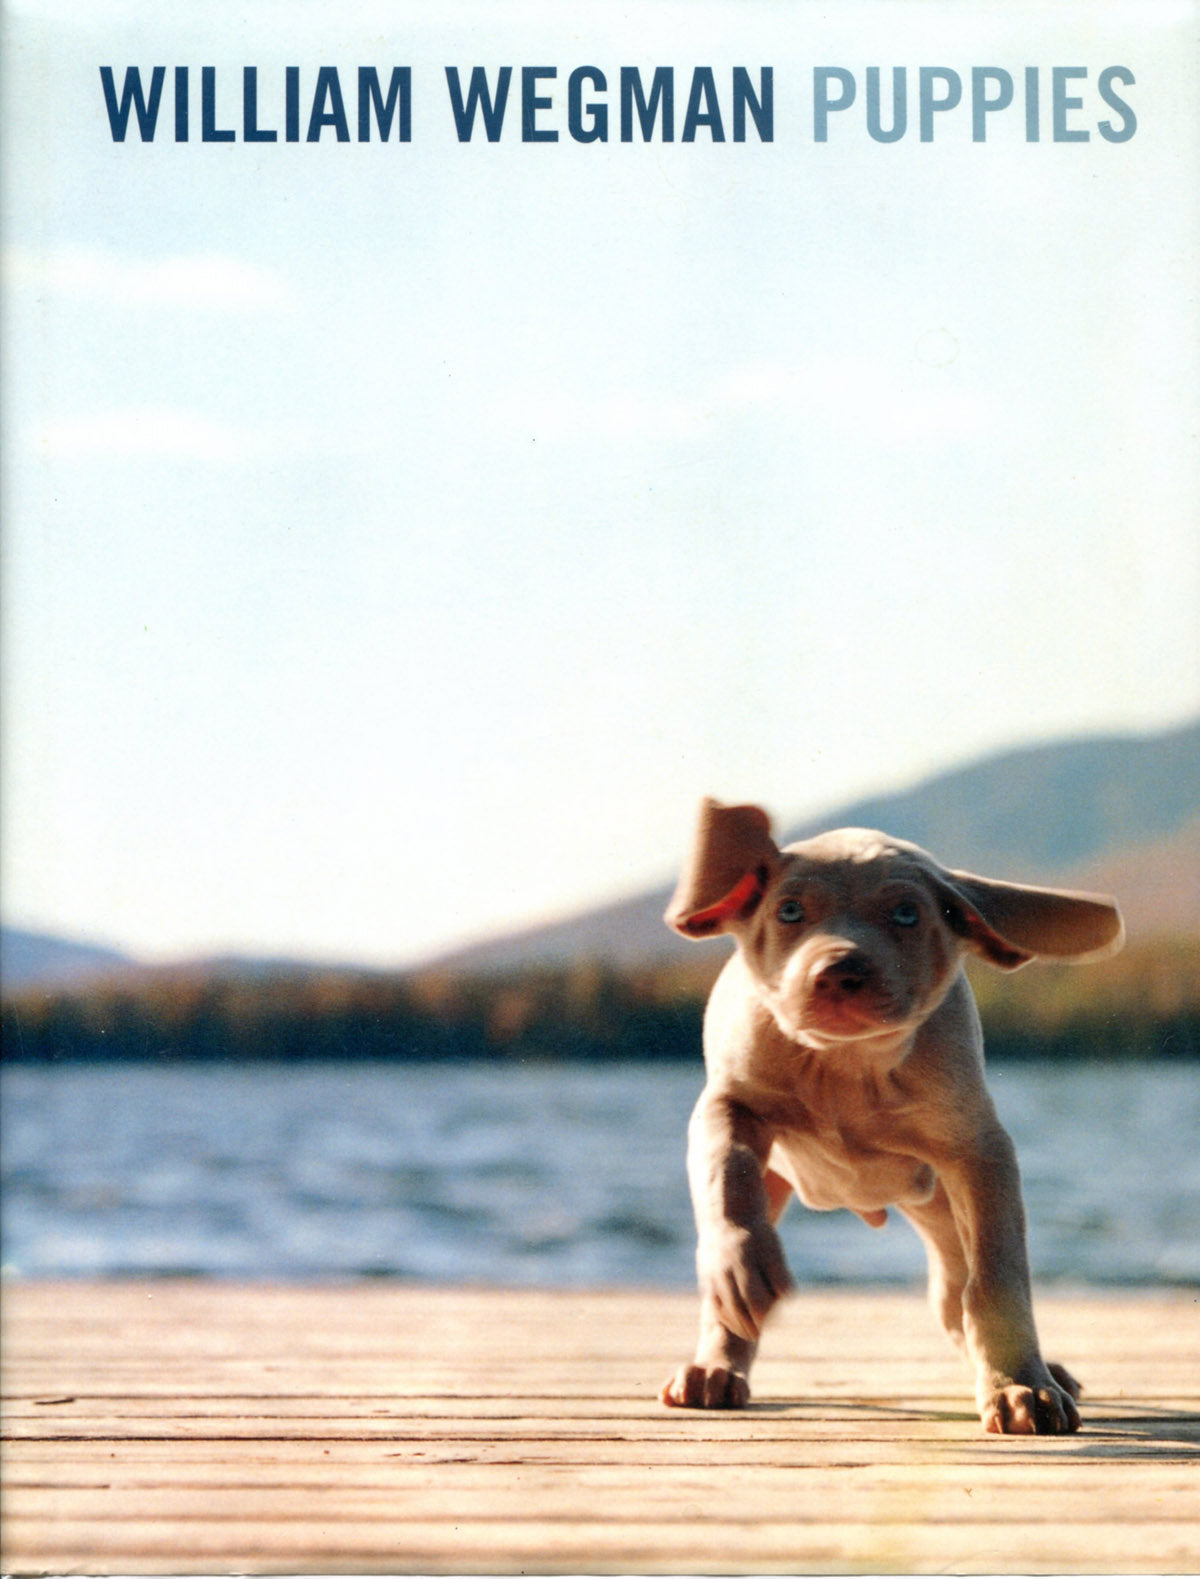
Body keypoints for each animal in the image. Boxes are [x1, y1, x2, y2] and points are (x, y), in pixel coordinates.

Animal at [660, 802, 1117, 1433]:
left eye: (906, 913)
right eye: (789, 910)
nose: (838, 973)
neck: (845, 1066)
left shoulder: (980, 1150)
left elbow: (997, 1280)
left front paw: (1022, 1386)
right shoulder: (727, 1103)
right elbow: (726, 1176)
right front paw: (740, 1264)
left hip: (945, 1214)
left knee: (956, 1298)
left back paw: (1039, 1371)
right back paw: (715, 1367)